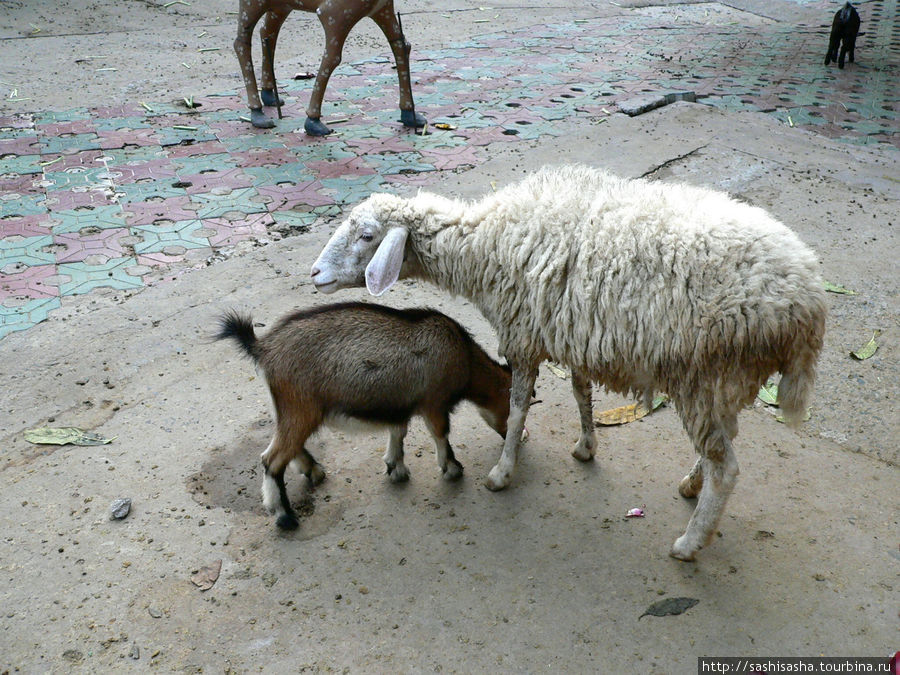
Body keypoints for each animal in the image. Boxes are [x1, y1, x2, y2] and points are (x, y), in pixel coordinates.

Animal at [216, 302, 512, 528]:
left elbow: (398, 432)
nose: (510, 436)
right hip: (300, 408)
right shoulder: (434, 403)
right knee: (272, 459)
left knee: (288, 446)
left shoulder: (399, 405)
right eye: (511, 404)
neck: (464, 358)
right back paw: (285, 517)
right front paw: (452, 468)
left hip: (289, 411)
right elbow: (441, 434)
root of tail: (263, 348)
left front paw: (395, 468)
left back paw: (313, 471)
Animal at [312, 165, 828, 560]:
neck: (483, 245)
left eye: (367, 235)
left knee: (727, 468)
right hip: (728, 380)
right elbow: (581, 392)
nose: (314, 273)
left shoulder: (522, 335)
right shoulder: (573, 329)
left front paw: (503, 470)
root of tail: (809, 304)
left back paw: (689, 542)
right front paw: (585, 447)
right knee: (722, 443)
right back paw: (690, 484)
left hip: (703, 373)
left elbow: (518, 405)